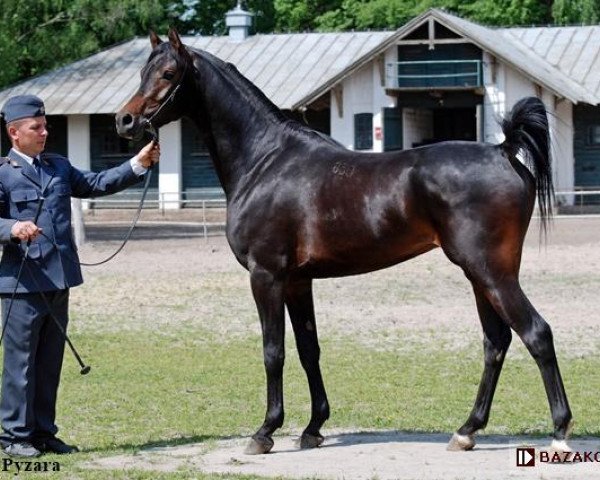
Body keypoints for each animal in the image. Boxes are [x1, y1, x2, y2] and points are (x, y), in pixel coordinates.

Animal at [116, 28, 572, 456]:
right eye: (141, 73)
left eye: (168, 73)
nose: (125, 121)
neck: (265, 161)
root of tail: (504, 151)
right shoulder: (298, 281)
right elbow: (308, 349)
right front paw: (313, 428)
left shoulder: (266, 276)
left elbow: (273, 351)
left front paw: (265, 431)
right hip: (480, 276)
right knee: (496, 343)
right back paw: (466, 431)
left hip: (491, 272)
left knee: (536, 333)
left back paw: (559, 433)